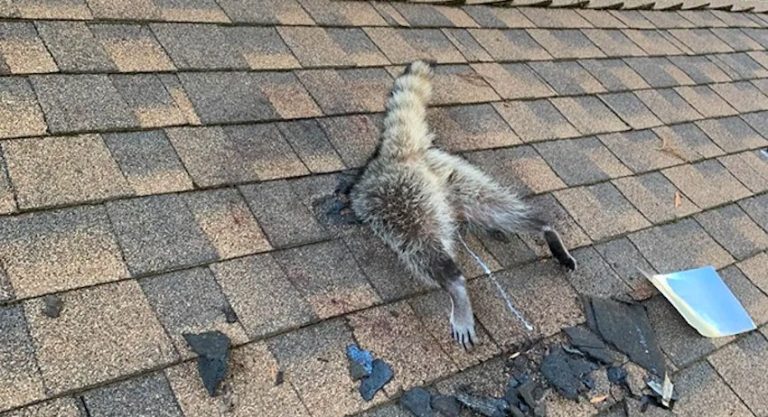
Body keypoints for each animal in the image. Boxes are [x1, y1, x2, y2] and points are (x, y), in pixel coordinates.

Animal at [349, 60, 576, 349]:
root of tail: (398, 155)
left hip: (401, 199)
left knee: (420, 245)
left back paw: (455, 284)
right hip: (453, 177)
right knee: (495, 207)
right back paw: (545, 228)